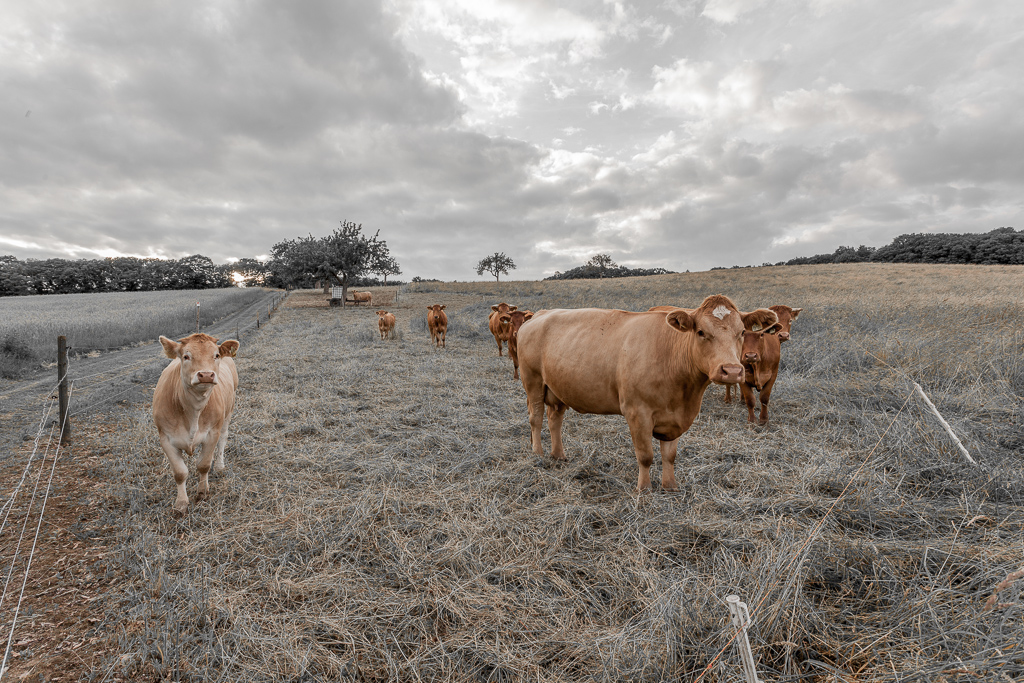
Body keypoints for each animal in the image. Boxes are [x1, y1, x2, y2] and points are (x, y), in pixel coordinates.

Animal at [152, 333, 239, 516]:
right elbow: (180, 473)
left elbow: (203, 465)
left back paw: (219, 465)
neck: (193, 411)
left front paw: (202, 492)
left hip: (229, 409)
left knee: (223, 438)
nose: (206, 375)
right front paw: (181, 504)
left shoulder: (212, 433)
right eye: (186, 356)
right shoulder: (165, 438)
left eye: (216, 355)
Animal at [519, 295, 778, 491]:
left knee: (554, 419)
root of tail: (540, 314)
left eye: (742, 332)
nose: (732, 370)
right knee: (536, 418)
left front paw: (670, 486)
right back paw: (538, 454)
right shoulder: (637, 412)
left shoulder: (675, 417)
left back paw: (558, 455)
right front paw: (643, 490)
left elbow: (669, 455)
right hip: (533, 381)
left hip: (557, 388)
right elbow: (645, 455)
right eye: (701, 332)